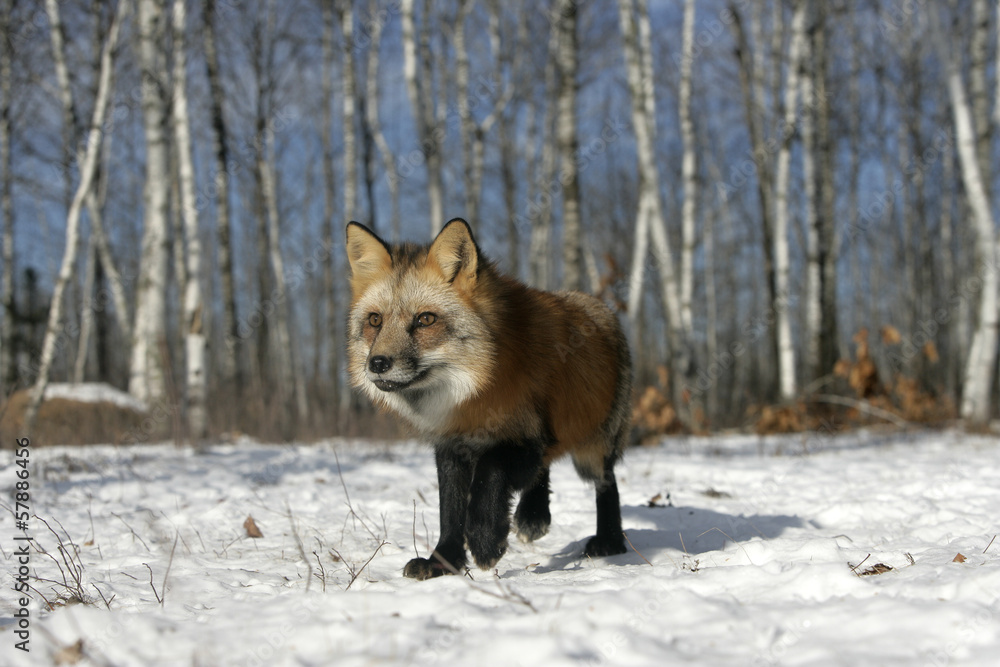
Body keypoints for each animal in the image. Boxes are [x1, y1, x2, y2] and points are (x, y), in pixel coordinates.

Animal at [346, 218, 632, 579]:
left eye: (425, 319)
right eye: (375, 320)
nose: (378, 363)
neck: (473, 389)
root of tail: (597, 303)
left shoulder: (522, 438)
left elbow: (490, 471)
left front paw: (484, 540)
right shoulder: (451, 445)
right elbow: (450, 510)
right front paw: (444, 561)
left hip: (593, 448)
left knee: (606, 483)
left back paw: (609, 540)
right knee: (545, 471)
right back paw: (534, 516)